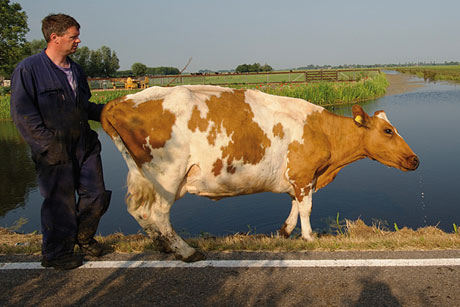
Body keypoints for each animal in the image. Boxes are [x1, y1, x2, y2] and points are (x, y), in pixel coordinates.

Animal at [101, 84, 420, 262]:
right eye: (388, 131)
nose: (415, 159)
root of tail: (121, 100)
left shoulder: (299, 177)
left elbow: (295, 205)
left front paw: (284, 232)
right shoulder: (304, 174)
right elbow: (306, 207)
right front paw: (309, 238)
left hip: (142, 175)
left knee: (138, 210)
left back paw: (163, 246)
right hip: (167, 174)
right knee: (157, 213)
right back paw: (186, 252)